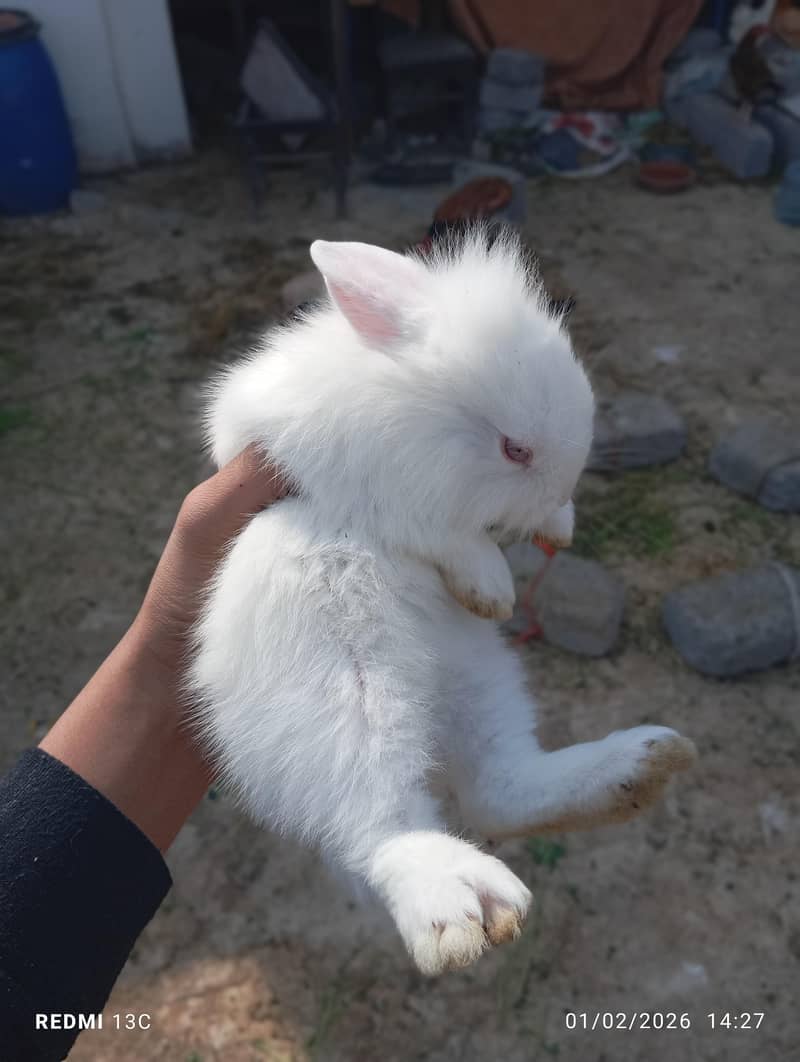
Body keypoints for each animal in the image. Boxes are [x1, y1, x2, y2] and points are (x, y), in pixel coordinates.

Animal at [189, 229, 696, 976]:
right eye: (513, 448)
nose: (560, 493)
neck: (420, 427)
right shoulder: (351, 483)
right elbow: (442, 535)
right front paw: (493, 584)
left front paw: (558, 526)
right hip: (345, 694)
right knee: (380, 822)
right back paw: (457, 900)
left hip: (481, 676)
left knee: (497, 791)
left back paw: (637, 766)